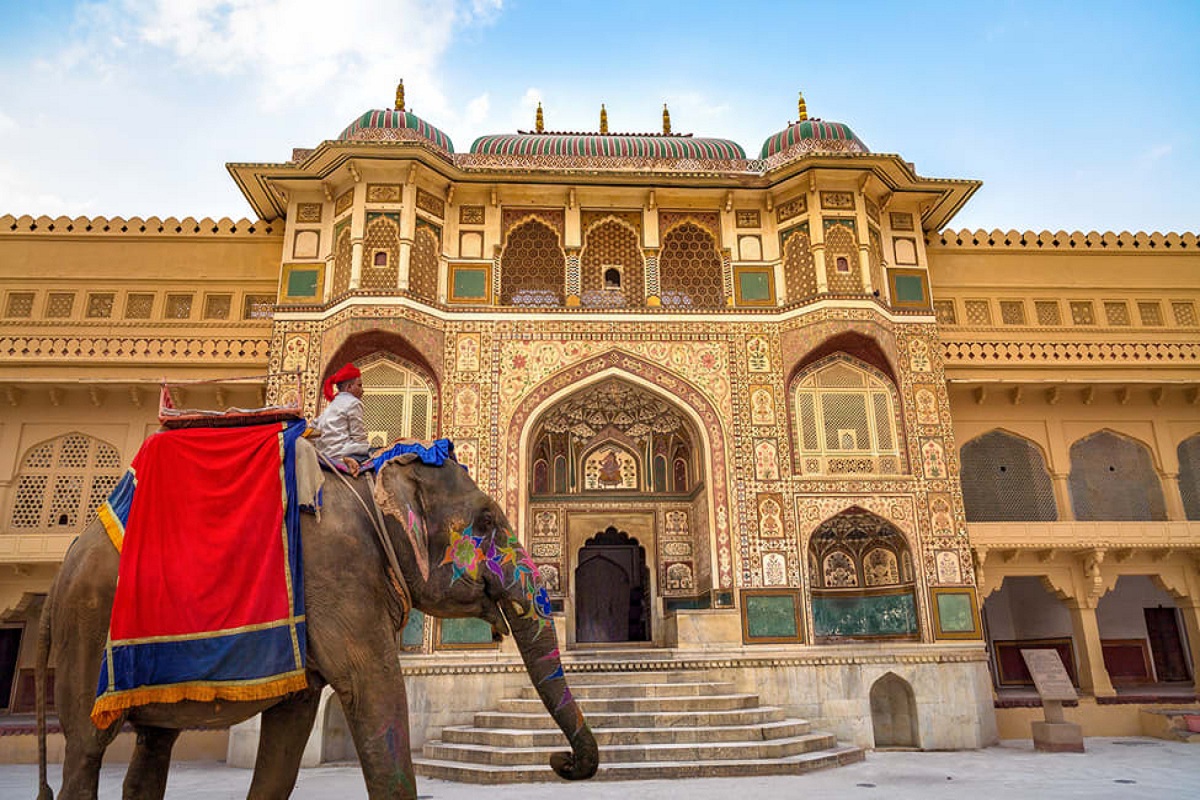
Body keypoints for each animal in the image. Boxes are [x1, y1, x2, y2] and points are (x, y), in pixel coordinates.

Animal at [35, 450, 597, 800]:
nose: (560, 763)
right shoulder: (337, 574)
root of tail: (64, 564)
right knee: (85, 750)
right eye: (484, 522)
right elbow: (376, 694)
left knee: (152, 746)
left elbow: (291, 730)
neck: (369, 486)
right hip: (86, 625)